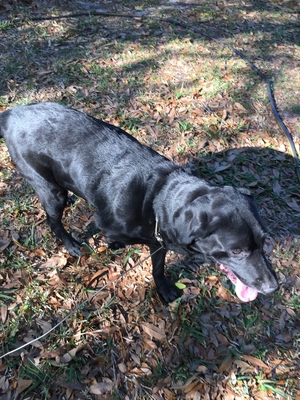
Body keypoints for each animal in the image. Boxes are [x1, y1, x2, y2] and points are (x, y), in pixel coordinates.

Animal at [0, 101, 278, 302]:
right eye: (237, 251)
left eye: (265, 242)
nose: (273, 287)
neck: (155, 196)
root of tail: (11, 114)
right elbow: (113, 235)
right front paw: (113, 243)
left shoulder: (158, 242)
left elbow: (158, 268)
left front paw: (164, 290)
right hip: (52, 190)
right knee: (53, 220)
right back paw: (71, 245)